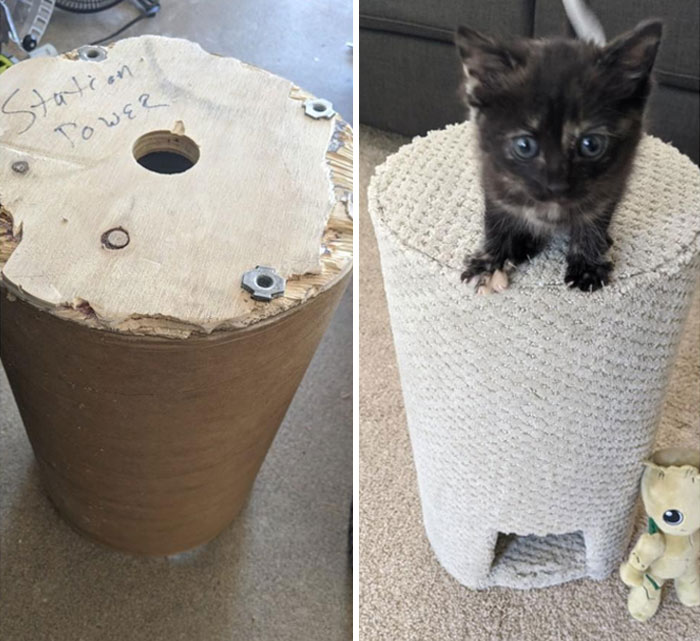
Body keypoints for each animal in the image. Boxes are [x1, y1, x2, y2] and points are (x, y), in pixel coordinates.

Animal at [456, 18, 664, 292]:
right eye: (524, 146)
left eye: (591, 145)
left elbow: (593, 220)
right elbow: (496, 219)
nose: (557, 186)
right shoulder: (493, 176)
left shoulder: (612, 183)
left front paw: (587, 265)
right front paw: (490, 262)